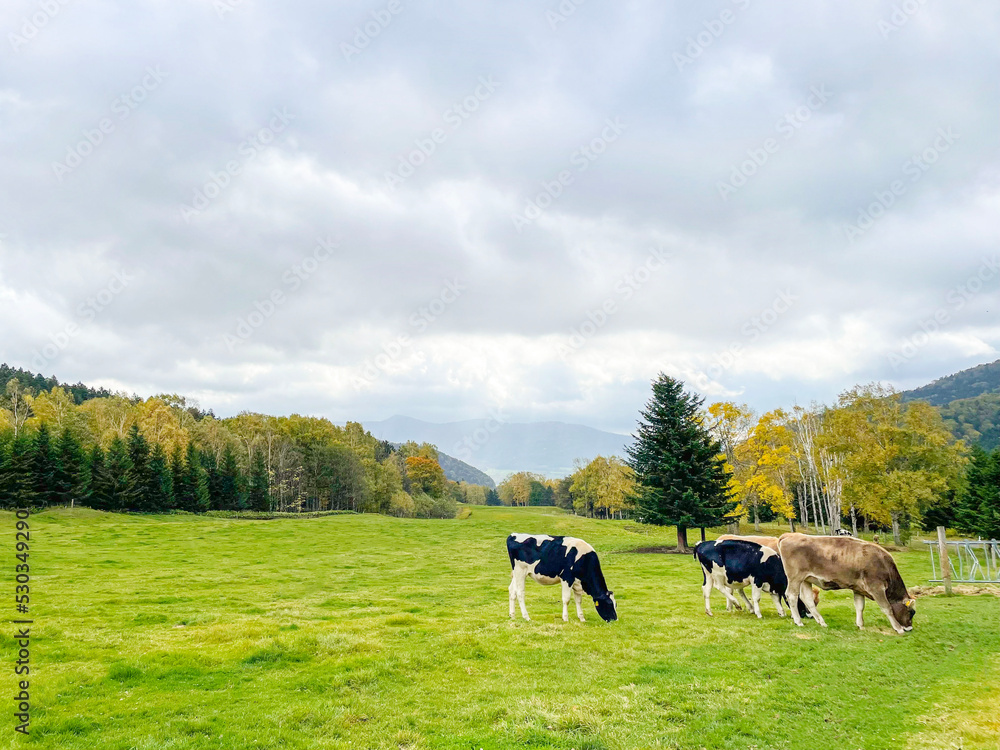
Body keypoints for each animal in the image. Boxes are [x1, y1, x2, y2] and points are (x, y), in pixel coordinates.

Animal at [780, 536, 916, 636]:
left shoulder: (858, 589)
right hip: (795, 578)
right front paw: (898, 629)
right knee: (791, 596)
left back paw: (821, 622)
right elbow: (887, 608)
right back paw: (798, 621)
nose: (910, 628)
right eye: (911, 612)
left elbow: (860, 606)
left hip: (805, 580)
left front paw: (860, 625)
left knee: (807, 599)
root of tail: (789, 536)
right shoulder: (876, 587)